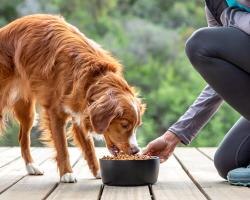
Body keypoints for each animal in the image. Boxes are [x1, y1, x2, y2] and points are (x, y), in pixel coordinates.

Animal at [0, 14, 145, 183]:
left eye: (137, 126)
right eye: (124, 124)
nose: (136, 150)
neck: (94, 79)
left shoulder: (81, 113)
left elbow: (90, 149)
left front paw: (98, 171)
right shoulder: (55, 114)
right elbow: (62, 147)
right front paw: (67, 173)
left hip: (27, 112)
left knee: (23, 138)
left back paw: (32, 167)